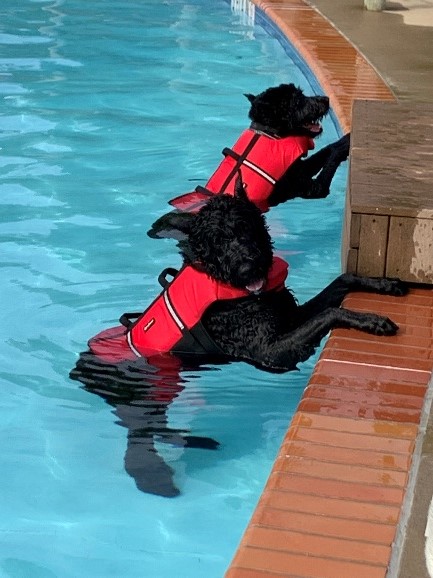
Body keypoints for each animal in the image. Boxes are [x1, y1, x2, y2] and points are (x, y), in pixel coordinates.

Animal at [150, 83, 350, 238]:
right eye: (298, 100)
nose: (326, 99)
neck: (268, 133)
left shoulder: (299, 168)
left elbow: (326, 150)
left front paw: (344, 139)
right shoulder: (314, 188)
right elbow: (333, 157)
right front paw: (347, 143)